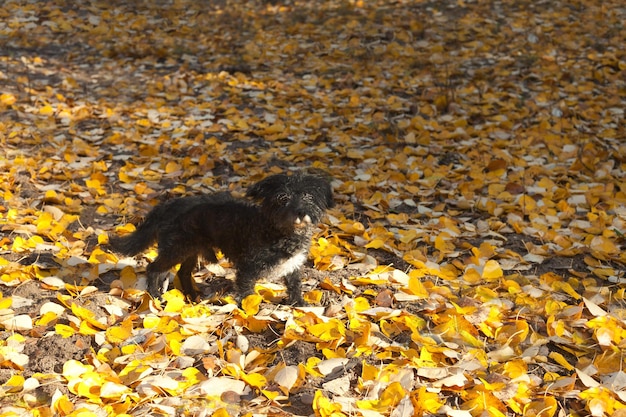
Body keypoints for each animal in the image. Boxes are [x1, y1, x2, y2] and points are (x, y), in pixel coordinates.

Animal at [108, 172, 332, 306]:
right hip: (176, 249)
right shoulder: (247, 269)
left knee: (182, 273)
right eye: (283, 198)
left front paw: (299, 304)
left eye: (308, 196)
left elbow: (295, 286)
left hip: (190, 250)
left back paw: (192, 296)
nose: (301, 212)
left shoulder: (293, 266)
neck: (279, 232)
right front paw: (250, 313)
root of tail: (166, 206)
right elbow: (247, 293)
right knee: (153, 267)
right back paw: (155, 296)